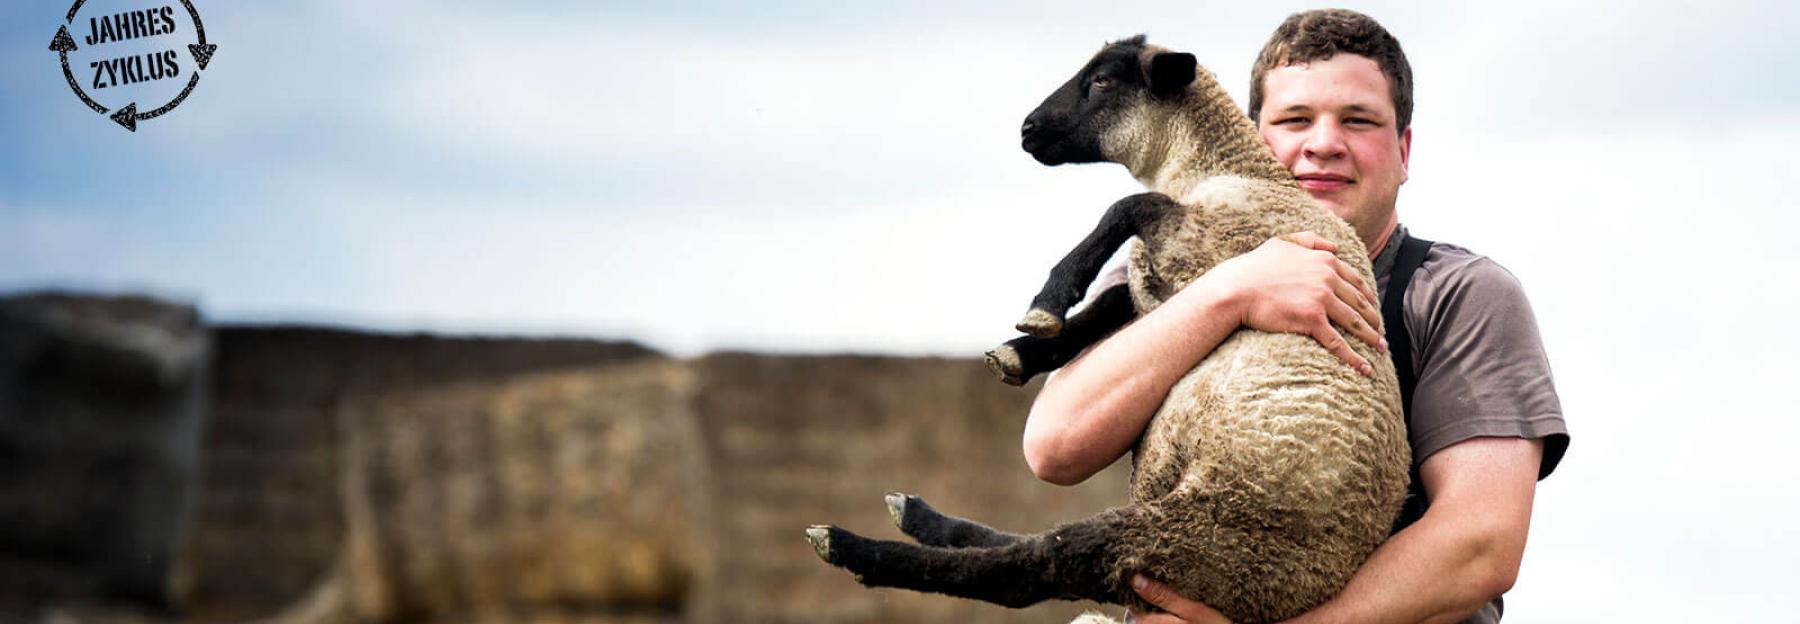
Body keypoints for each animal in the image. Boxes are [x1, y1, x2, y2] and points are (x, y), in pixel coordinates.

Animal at [810, 35, 1411, 624]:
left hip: (1191, 540)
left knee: (1036, 566)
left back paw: (852, 546)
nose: (1027, 129)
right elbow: (1112, 299)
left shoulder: (1214, 247)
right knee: (1043, 548)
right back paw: (914, 516)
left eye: (1101, 80)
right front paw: (1021, 351)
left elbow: (1127, 205)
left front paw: (1045, 302)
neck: (1233, 170)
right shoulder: (1176, 281)